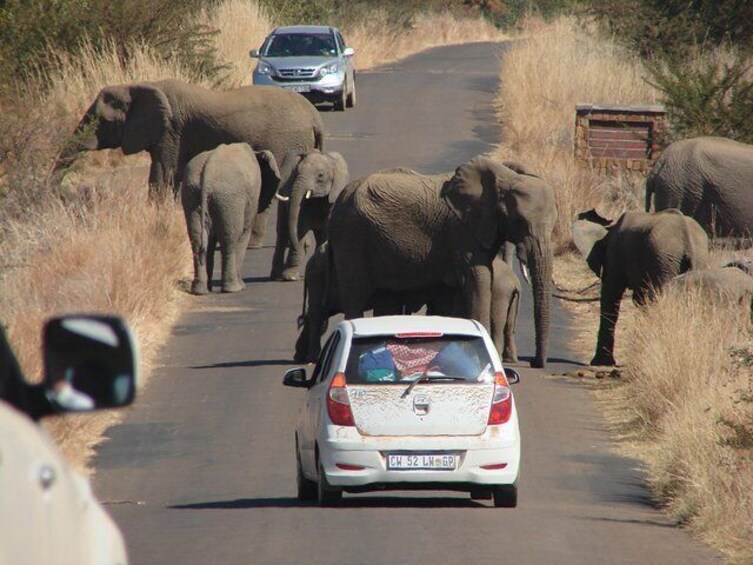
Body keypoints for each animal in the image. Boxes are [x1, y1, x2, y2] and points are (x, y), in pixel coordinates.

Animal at [53, 79, 324, 245]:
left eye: (101, 121)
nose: (58, 194)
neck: (141, 85)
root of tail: (315, 117)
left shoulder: (171, 132)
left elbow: (162, 176)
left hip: (286, 143)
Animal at [181, 142, 280, 296]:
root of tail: (208, 171)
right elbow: (244, 232)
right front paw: (242, 286)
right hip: (230, 198)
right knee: (230, 239)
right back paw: (233, 288)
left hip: (192, 195)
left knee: (198, 240)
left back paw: (200, 290)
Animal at [270, 150, 350, 282]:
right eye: (296, 172)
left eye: (320, 175)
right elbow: (300, 226)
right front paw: (290, 277)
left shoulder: (335, 194)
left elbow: (327, 228)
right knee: (282, 231)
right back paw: (276, 276)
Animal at [328, 154, 552, 366]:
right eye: (519, 221)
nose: (533, 363)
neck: (504, 178)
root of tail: (343, 194)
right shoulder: (461, 231)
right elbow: (479, 279)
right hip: (351, 235)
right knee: (355, 295)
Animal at [572, 207, 708, 366]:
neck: (608, 228)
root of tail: (689, 243)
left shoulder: (615, 254)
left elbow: (611, 294)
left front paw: (601, 363)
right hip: (690, 263)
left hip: (663, 261)